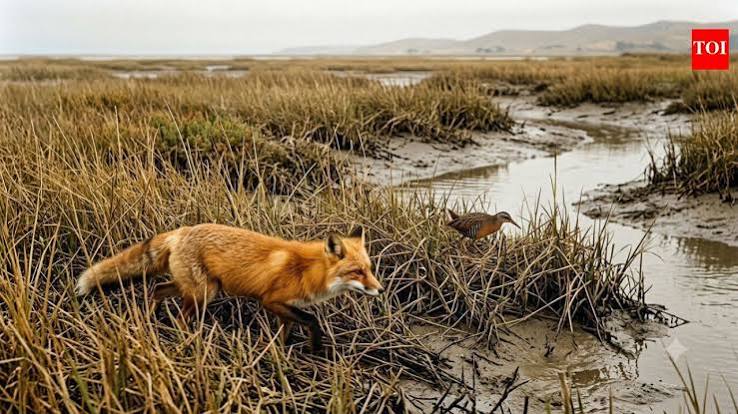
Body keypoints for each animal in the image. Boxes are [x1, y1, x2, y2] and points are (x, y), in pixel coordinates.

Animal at [76, 223, 383, 352]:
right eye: (357, 271)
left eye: (370, 269)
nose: (380, 290)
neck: (308, 270)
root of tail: (181, 230)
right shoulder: (271, 301)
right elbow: (312, 319)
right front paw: (316, 346)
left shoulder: (285, 309)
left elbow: (286, 332)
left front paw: (282, 353)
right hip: (204, 293)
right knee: (180, 318)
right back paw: (186, 341)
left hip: (198, 287)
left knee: (157, 289)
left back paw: (149, 320)